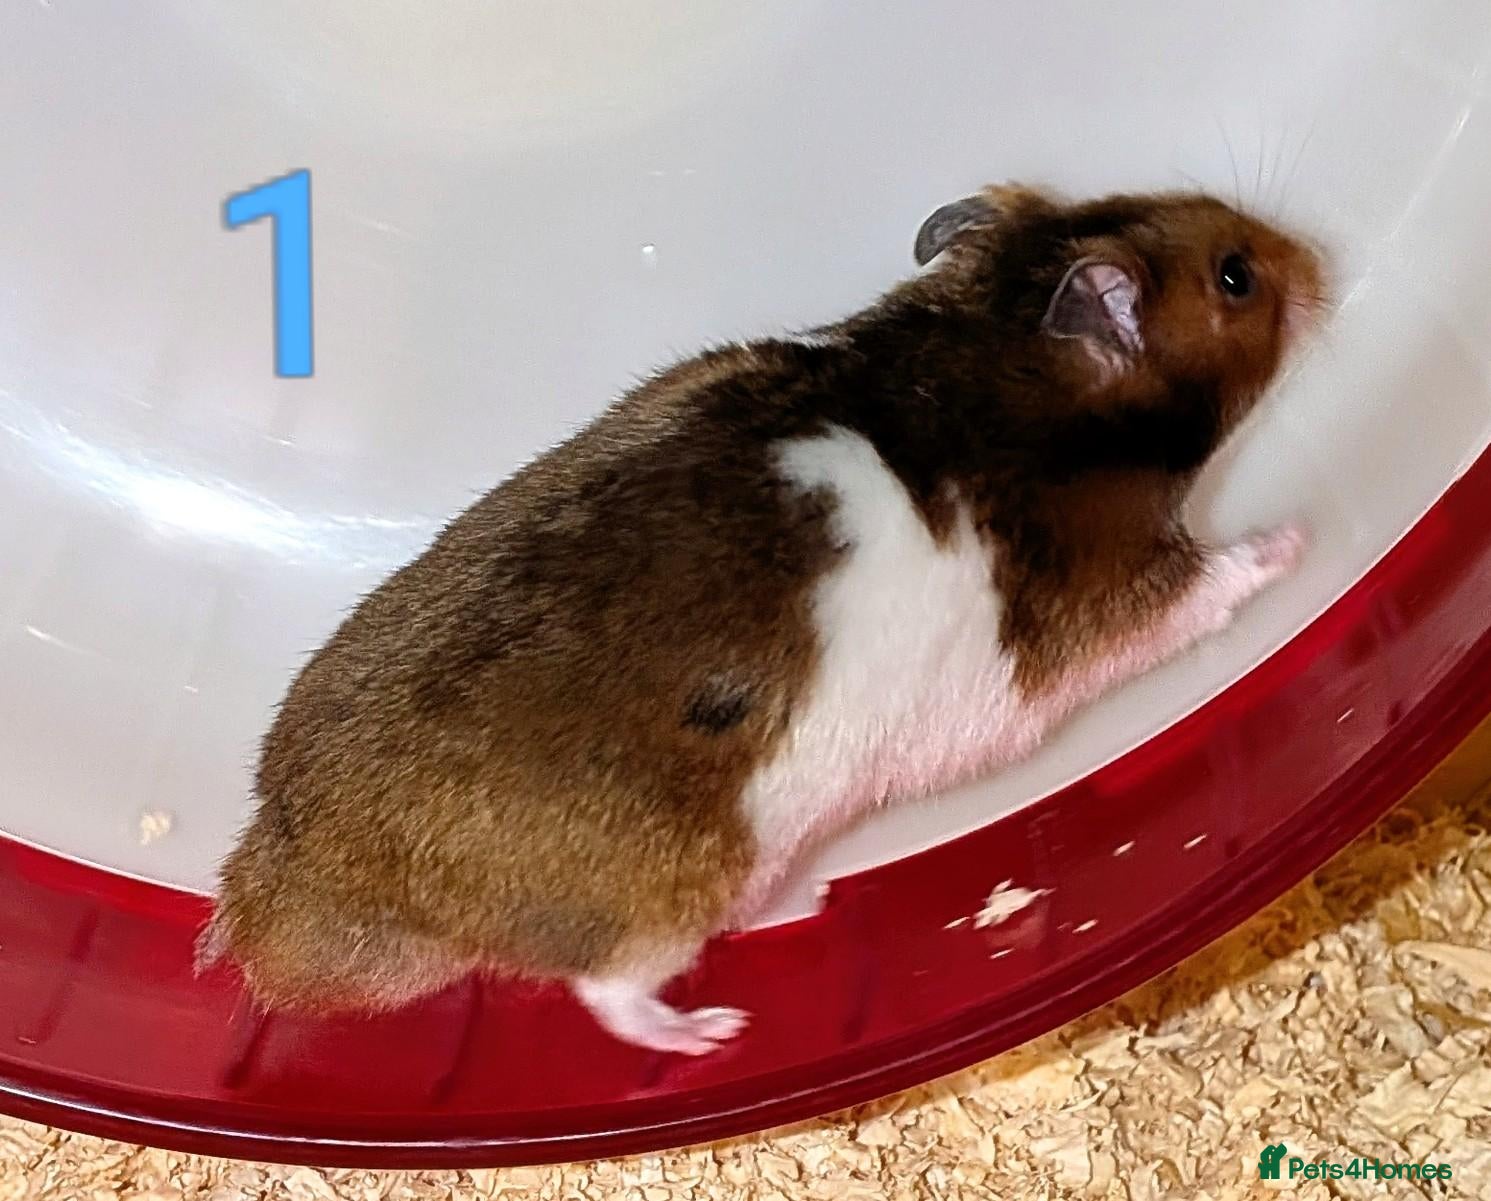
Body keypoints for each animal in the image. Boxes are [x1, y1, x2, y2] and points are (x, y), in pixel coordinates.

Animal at [202, 183, 1325, 1055]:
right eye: (1236, 277)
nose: (1314, 258)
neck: (996, 360)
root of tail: (287, 892)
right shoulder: (1121, 591)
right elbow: (1211, 579)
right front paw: (1294, 541)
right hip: (671, 894)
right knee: (610, 995)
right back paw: (717, 1029)